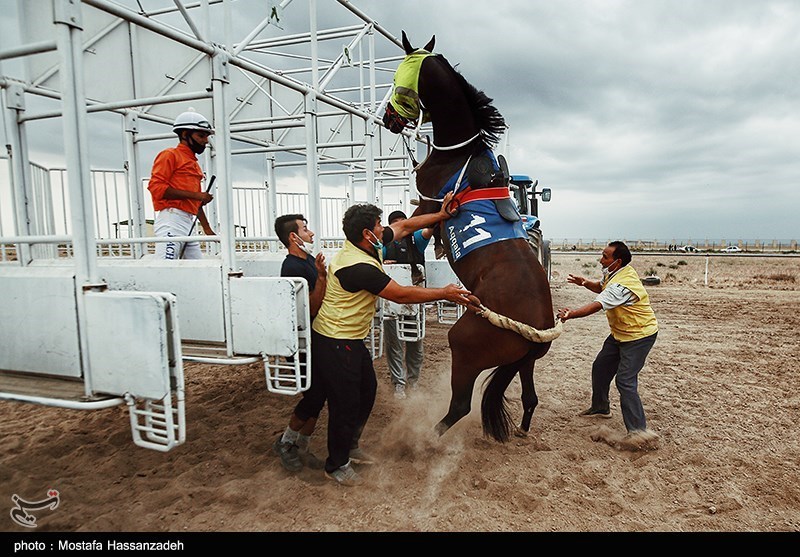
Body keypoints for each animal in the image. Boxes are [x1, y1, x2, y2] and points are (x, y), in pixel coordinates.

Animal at [382, 32, 556, 440]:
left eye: (396, 75)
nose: (388, 119)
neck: (460, 154)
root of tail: (533, 332)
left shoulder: (428, 204)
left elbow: (411, 233)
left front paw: (414, 264)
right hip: (524, 364)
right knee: (530, 398)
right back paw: (522, 429)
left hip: (463, 347)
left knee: (460, 405)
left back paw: (424, 439)